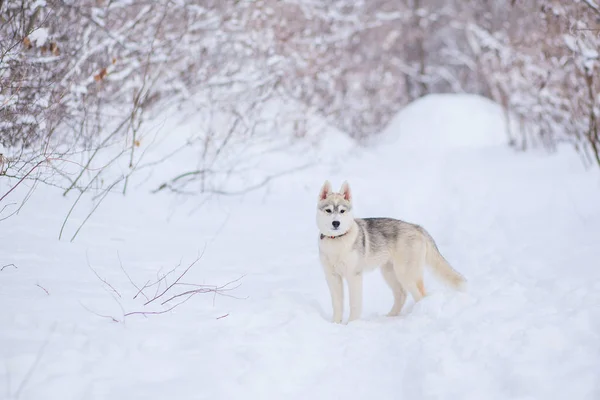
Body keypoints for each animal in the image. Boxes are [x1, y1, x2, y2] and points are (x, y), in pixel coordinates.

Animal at [316, 180, 466, 324]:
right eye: (328, 210)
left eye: (342, 211)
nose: (336, 223)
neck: (337, 242)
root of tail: (417, 227)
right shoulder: (332, 277)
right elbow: (337, 304)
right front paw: (335, 324)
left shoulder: (354, 276)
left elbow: (354, 304)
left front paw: (352, 324)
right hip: (389, 272)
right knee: (401, 294)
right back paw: (390, 316)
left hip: (406, 274)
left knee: (421, 295)